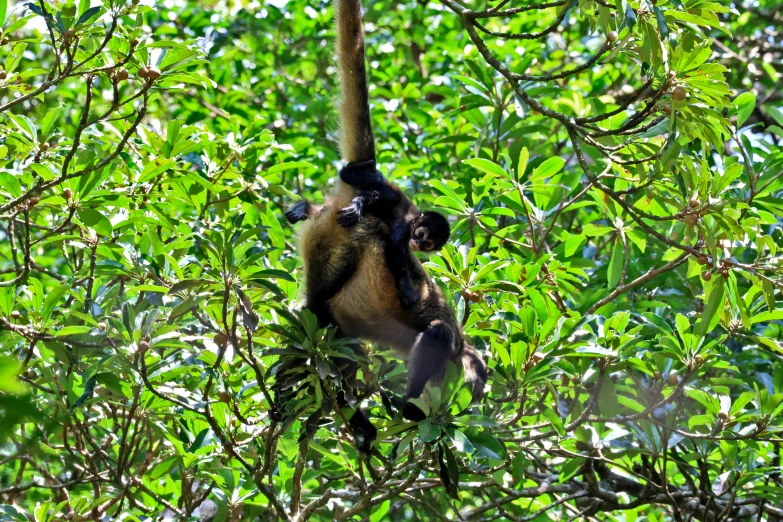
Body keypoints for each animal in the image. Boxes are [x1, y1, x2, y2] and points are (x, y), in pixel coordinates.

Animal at [284, 0, 486, 430]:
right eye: (475, 386)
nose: (474, 399)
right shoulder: (450, 345)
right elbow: (437, 334)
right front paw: (409, 406)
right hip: (339, 242)